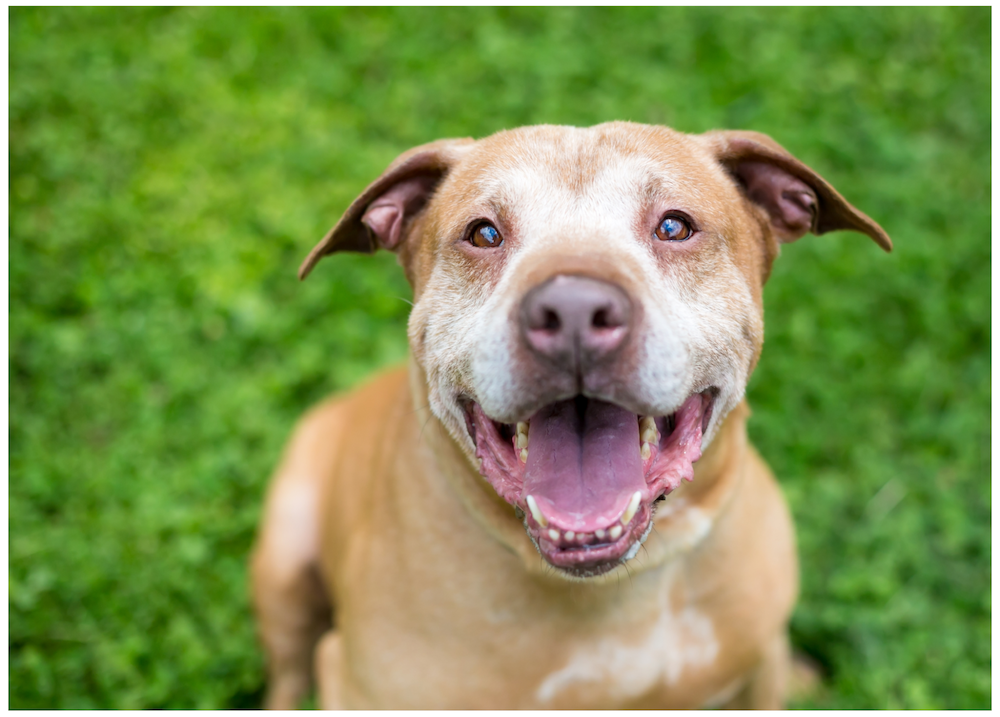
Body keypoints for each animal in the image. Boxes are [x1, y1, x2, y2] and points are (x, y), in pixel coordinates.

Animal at [250, 120, 892, 708]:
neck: (618, 592)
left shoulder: (755, 674)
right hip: (284, 564)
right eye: (483, 233)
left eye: (674, 226)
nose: (575, 310)